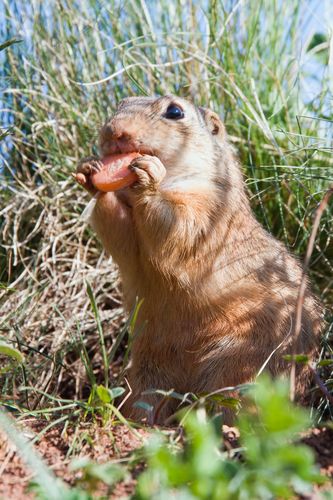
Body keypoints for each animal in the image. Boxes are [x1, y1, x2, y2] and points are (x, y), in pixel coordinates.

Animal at [76, 94, 322, 422]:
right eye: (121, 103)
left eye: (175, 111)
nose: (114, 132)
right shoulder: (130, 237)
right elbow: (119, 231)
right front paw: (89, 171)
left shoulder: (209, 210)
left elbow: (181, 224)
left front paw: (148, 178)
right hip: (148, 370)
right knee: (146, 399)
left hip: (240, 364)